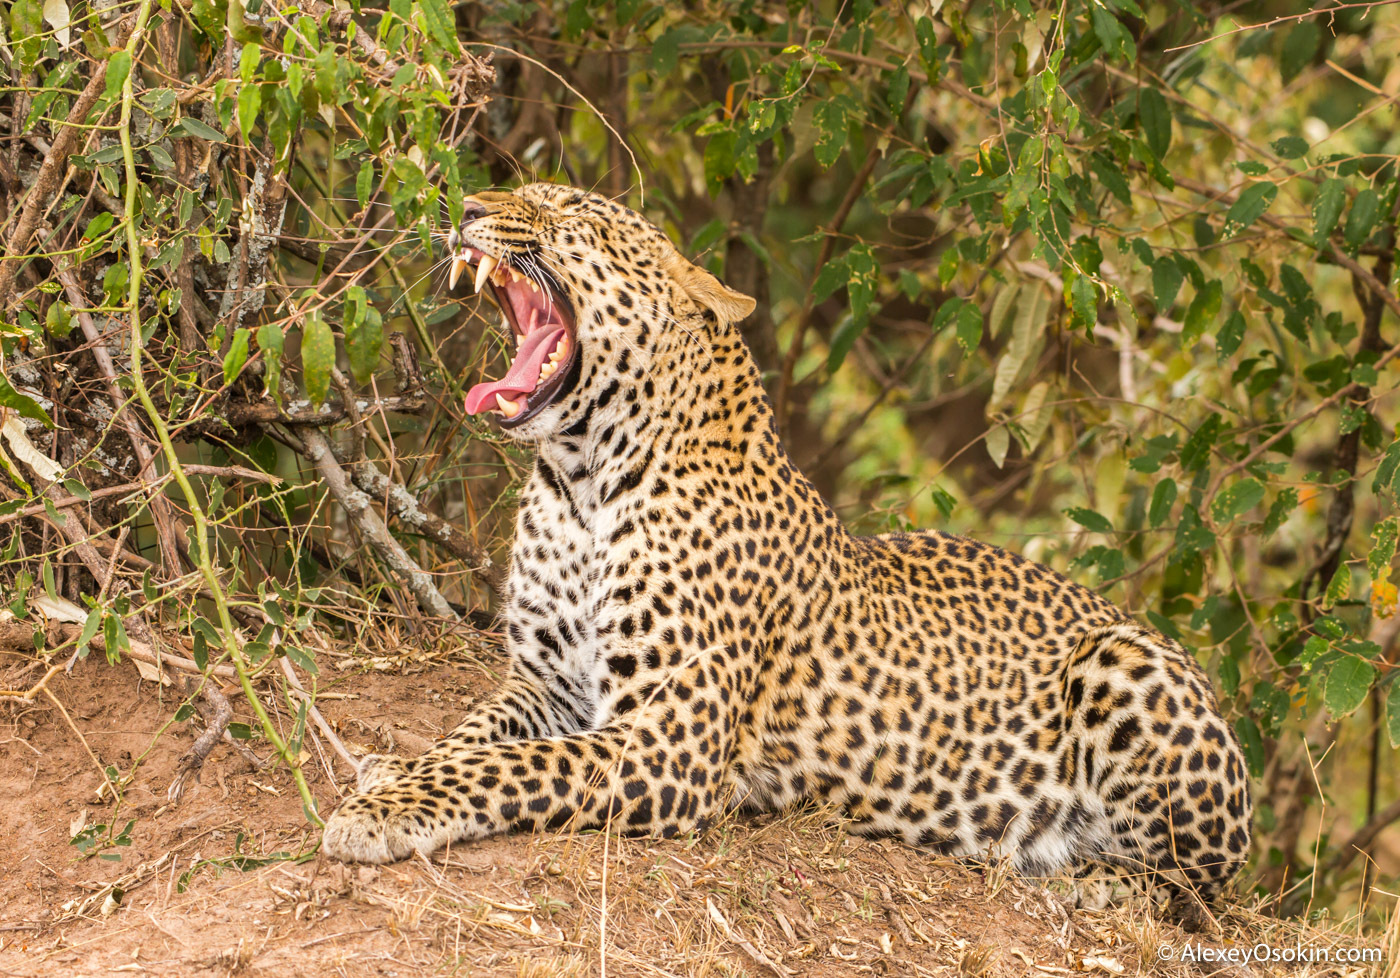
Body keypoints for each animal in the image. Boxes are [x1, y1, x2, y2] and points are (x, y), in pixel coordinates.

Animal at [322, 183, 1254, 923]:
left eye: (570, 210)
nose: (467, 206)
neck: (583, 483)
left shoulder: (672, 734)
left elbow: (511, 767)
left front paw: (384, 812)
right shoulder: (546, 683)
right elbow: (474, 740)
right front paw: (392, 773)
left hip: (1129, 667)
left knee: (1194, 888)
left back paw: (1092, 881)